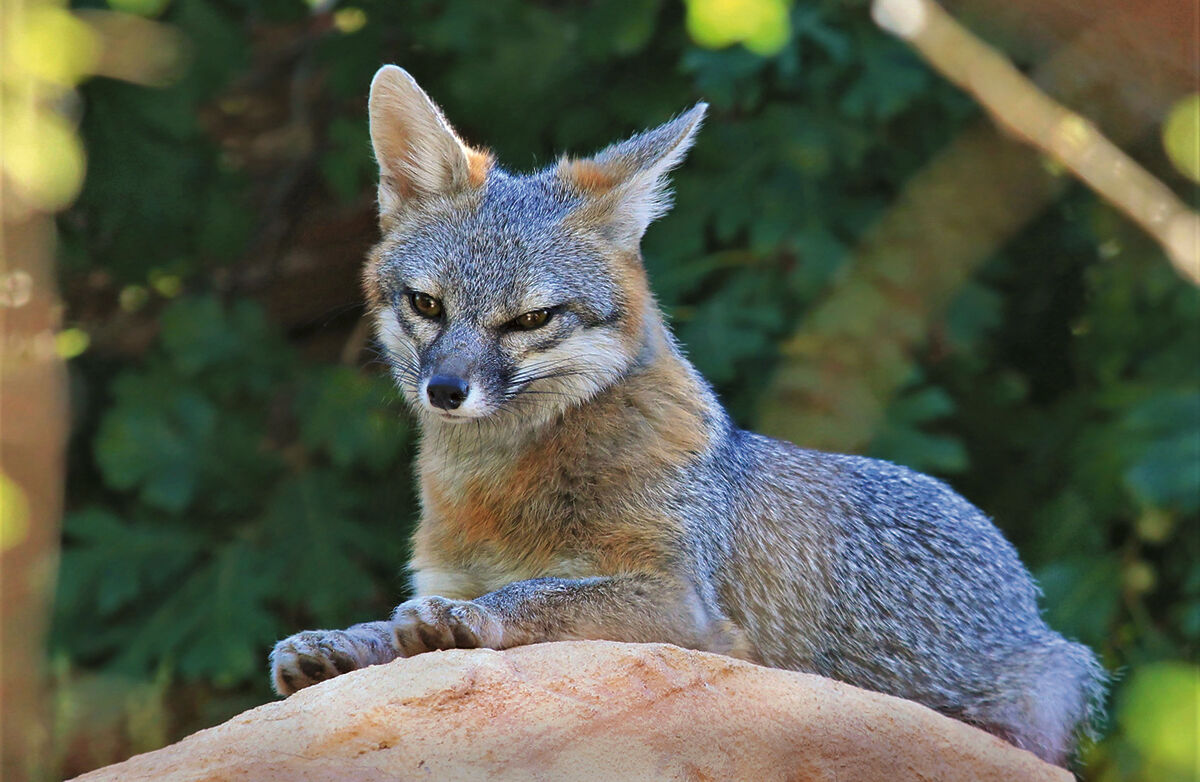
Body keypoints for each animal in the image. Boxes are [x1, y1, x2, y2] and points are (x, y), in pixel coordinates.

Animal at [269, 65, 1106, 767]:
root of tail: (1026, 596)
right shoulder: (450, 569)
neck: (501, 493)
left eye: (531, 319)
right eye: (426, 305)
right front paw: (348, 641)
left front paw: (465, 620)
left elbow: (537, 594)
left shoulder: (682, 604)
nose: (445, 390)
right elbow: (399, 622)